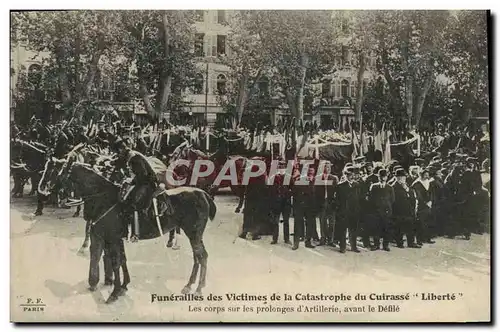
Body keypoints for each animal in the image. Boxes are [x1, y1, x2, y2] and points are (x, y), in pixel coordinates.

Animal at [60, 162, 217, 304]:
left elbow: (116, 263)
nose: (61, 201)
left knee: (202, 256)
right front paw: (123, 286)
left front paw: (115, 292)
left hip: (194, 234)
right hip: (194, 235)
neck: (105, 199)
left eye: (65, 176)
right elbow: (122, 261)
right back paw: (189, 285)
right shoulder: (116, 239)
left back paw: (199, 288)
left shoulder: (112, 239)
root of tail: (203, 194)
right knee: (197, 257)